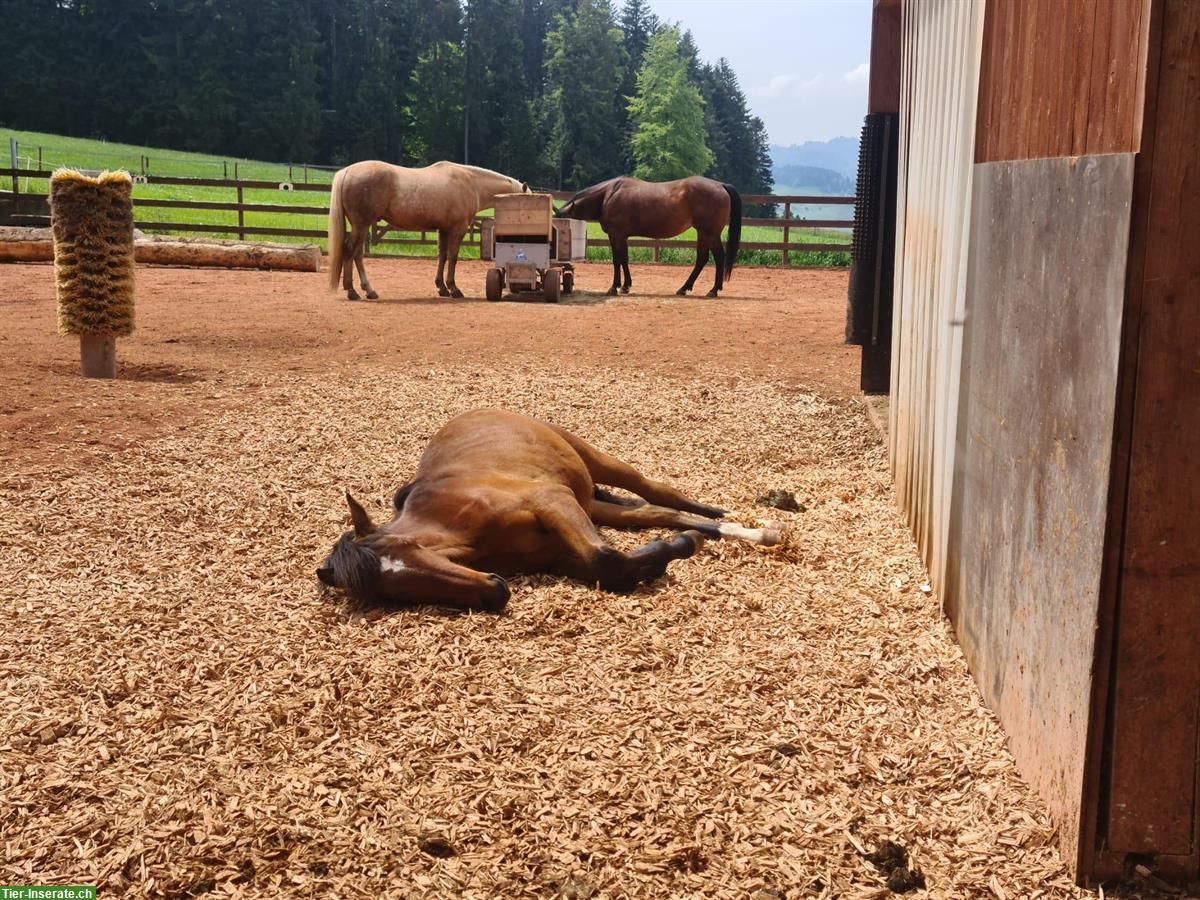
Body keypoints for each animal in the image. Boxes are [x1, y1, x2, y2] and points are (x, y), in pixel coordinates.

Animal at [319, 410, 782, 614]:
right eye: (395, 594)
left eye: (411, 547)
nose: (495, 590)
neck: (457, 515)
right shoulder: (560, 552)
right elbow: (609, 567)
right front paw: (668, 551)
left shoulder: (551, 500)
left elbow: (607, 560)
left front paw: (676, 550)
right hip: (592, 504)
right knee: (652, 511)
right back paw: (739, 531)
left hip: (594, 462)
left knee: (654, 490)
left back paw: (726, 514)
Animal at [326, 160, 528, 301]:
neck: (471, 183)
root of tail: (347, 172)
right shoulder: (457, 230)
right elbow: (453, 258)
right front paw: (454, 289)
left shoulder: (443, 230)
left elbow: (442, 257)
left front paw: (442, 288)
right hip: (361, 225)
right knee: (350, 251)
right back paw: (353, 291)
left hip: (361, 226)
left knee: (357, 255)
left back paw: (368, 290)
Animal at [554, 176, 739, 300]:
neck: (608, 195)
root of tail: (721, 185)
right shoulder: (623, 236)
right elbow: (624, 259)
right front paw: (626, 286)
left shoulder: (616, 234)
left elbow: (616, 260)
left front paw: (614, 287)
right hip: (704, 233)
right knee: (703, 258)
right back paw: (688, 288)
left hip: (709, 232)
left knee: (716, 257)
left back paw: (712, 290)